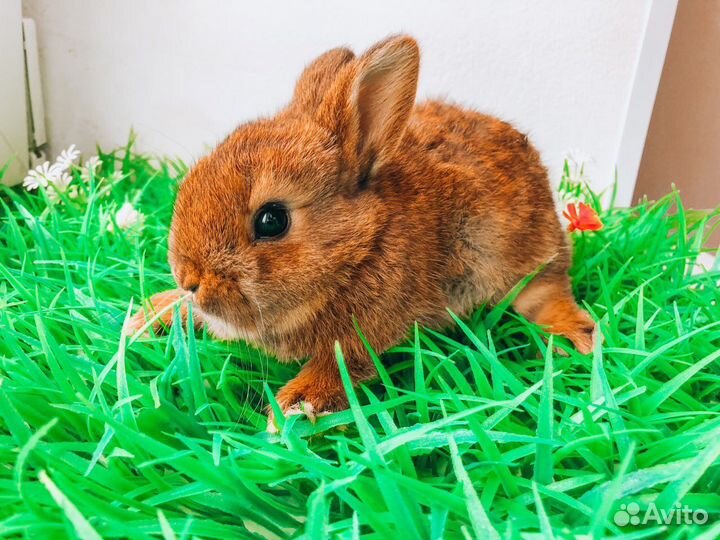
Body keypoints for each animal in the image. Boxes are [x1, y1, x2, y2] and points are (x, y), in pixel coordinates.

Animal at [127, 35, 597, 429]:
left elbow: (338, 369)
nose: (190, 279)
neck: (361, 245)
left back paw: (578, 339)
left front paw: (292, 411)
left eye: (271, 220)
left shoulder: (360, 338)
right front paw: (149, 317)